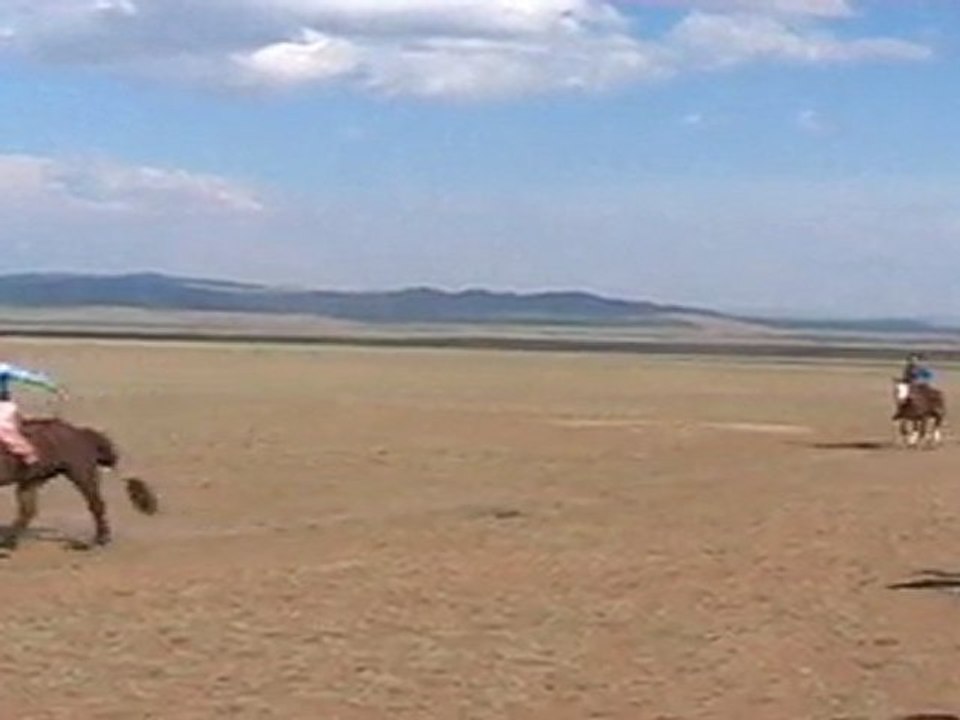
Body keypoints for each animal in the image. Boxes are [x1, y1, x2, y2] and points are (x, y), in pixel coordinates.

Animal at [0, 417, 158, 550]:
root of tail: (82, 433)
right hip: (34, 479)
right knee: (28, 510)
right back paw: (9, 542)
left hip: (81, 473)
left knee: (96, 504)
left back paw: (100, 540)